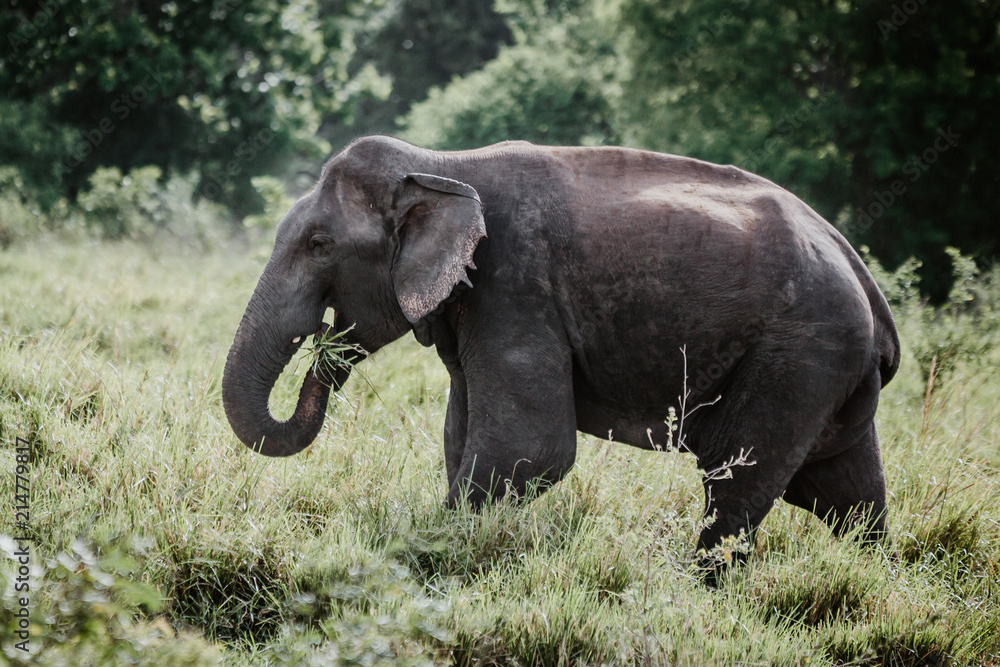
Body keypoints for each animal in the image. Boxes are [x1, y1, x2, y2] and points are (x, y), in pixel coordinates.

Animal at [222, 135, 899, 579]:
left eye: (318, 244)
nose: (327, 346)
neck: (438, 165)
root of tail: (871, 292)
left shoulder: (515, 285)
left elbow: (529, 448)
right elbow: (463, 436)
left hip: (801, 353)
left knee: (739, 481)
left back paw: (694, 591)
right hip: (825, 371)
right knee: (844, 494)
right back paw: (883, 581)